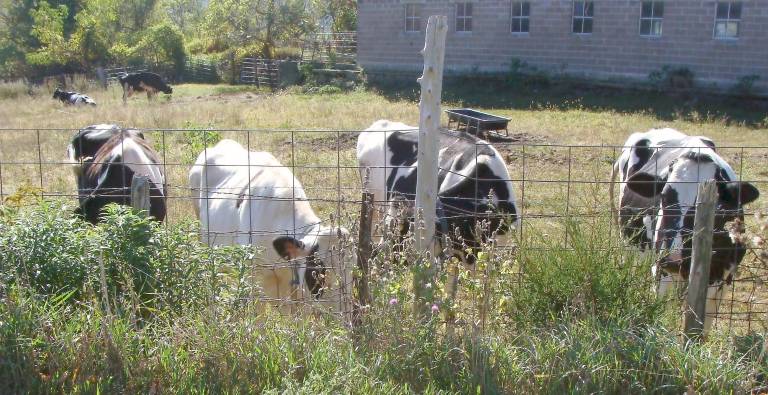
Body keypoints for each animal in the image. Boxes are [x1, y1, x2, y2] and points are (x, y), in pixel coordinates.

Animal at [612, 128, 760, 332]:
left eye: (716, 204)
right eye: (663, 197)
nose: (673, 259)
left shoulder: (722, 278)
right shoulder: (662, 271)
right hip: (629, 246)